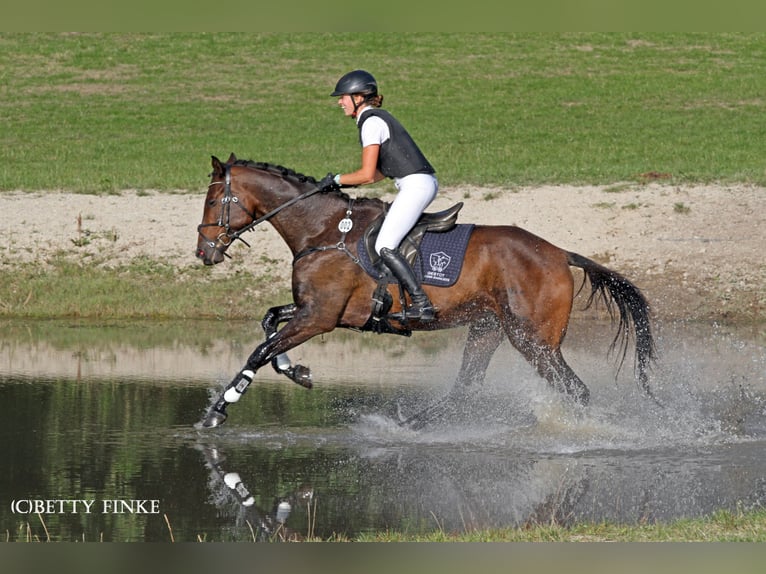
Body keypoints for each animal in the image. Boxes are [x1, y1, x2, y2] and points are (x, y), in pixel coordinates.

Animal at [196, 155, 656, 430]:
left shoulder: (320, 317)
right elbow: (269, 323)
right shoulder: (318, 311)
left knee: (576, 390)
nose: (204, 252)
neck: (323, 231)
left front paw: (218, 410)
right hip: (489, 328)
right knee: (465, 388)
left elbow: (260, 350)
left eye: (214, 200)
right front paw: (297, 372)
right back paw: (409, 425)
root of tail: (560, 254)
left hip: (532, 340)